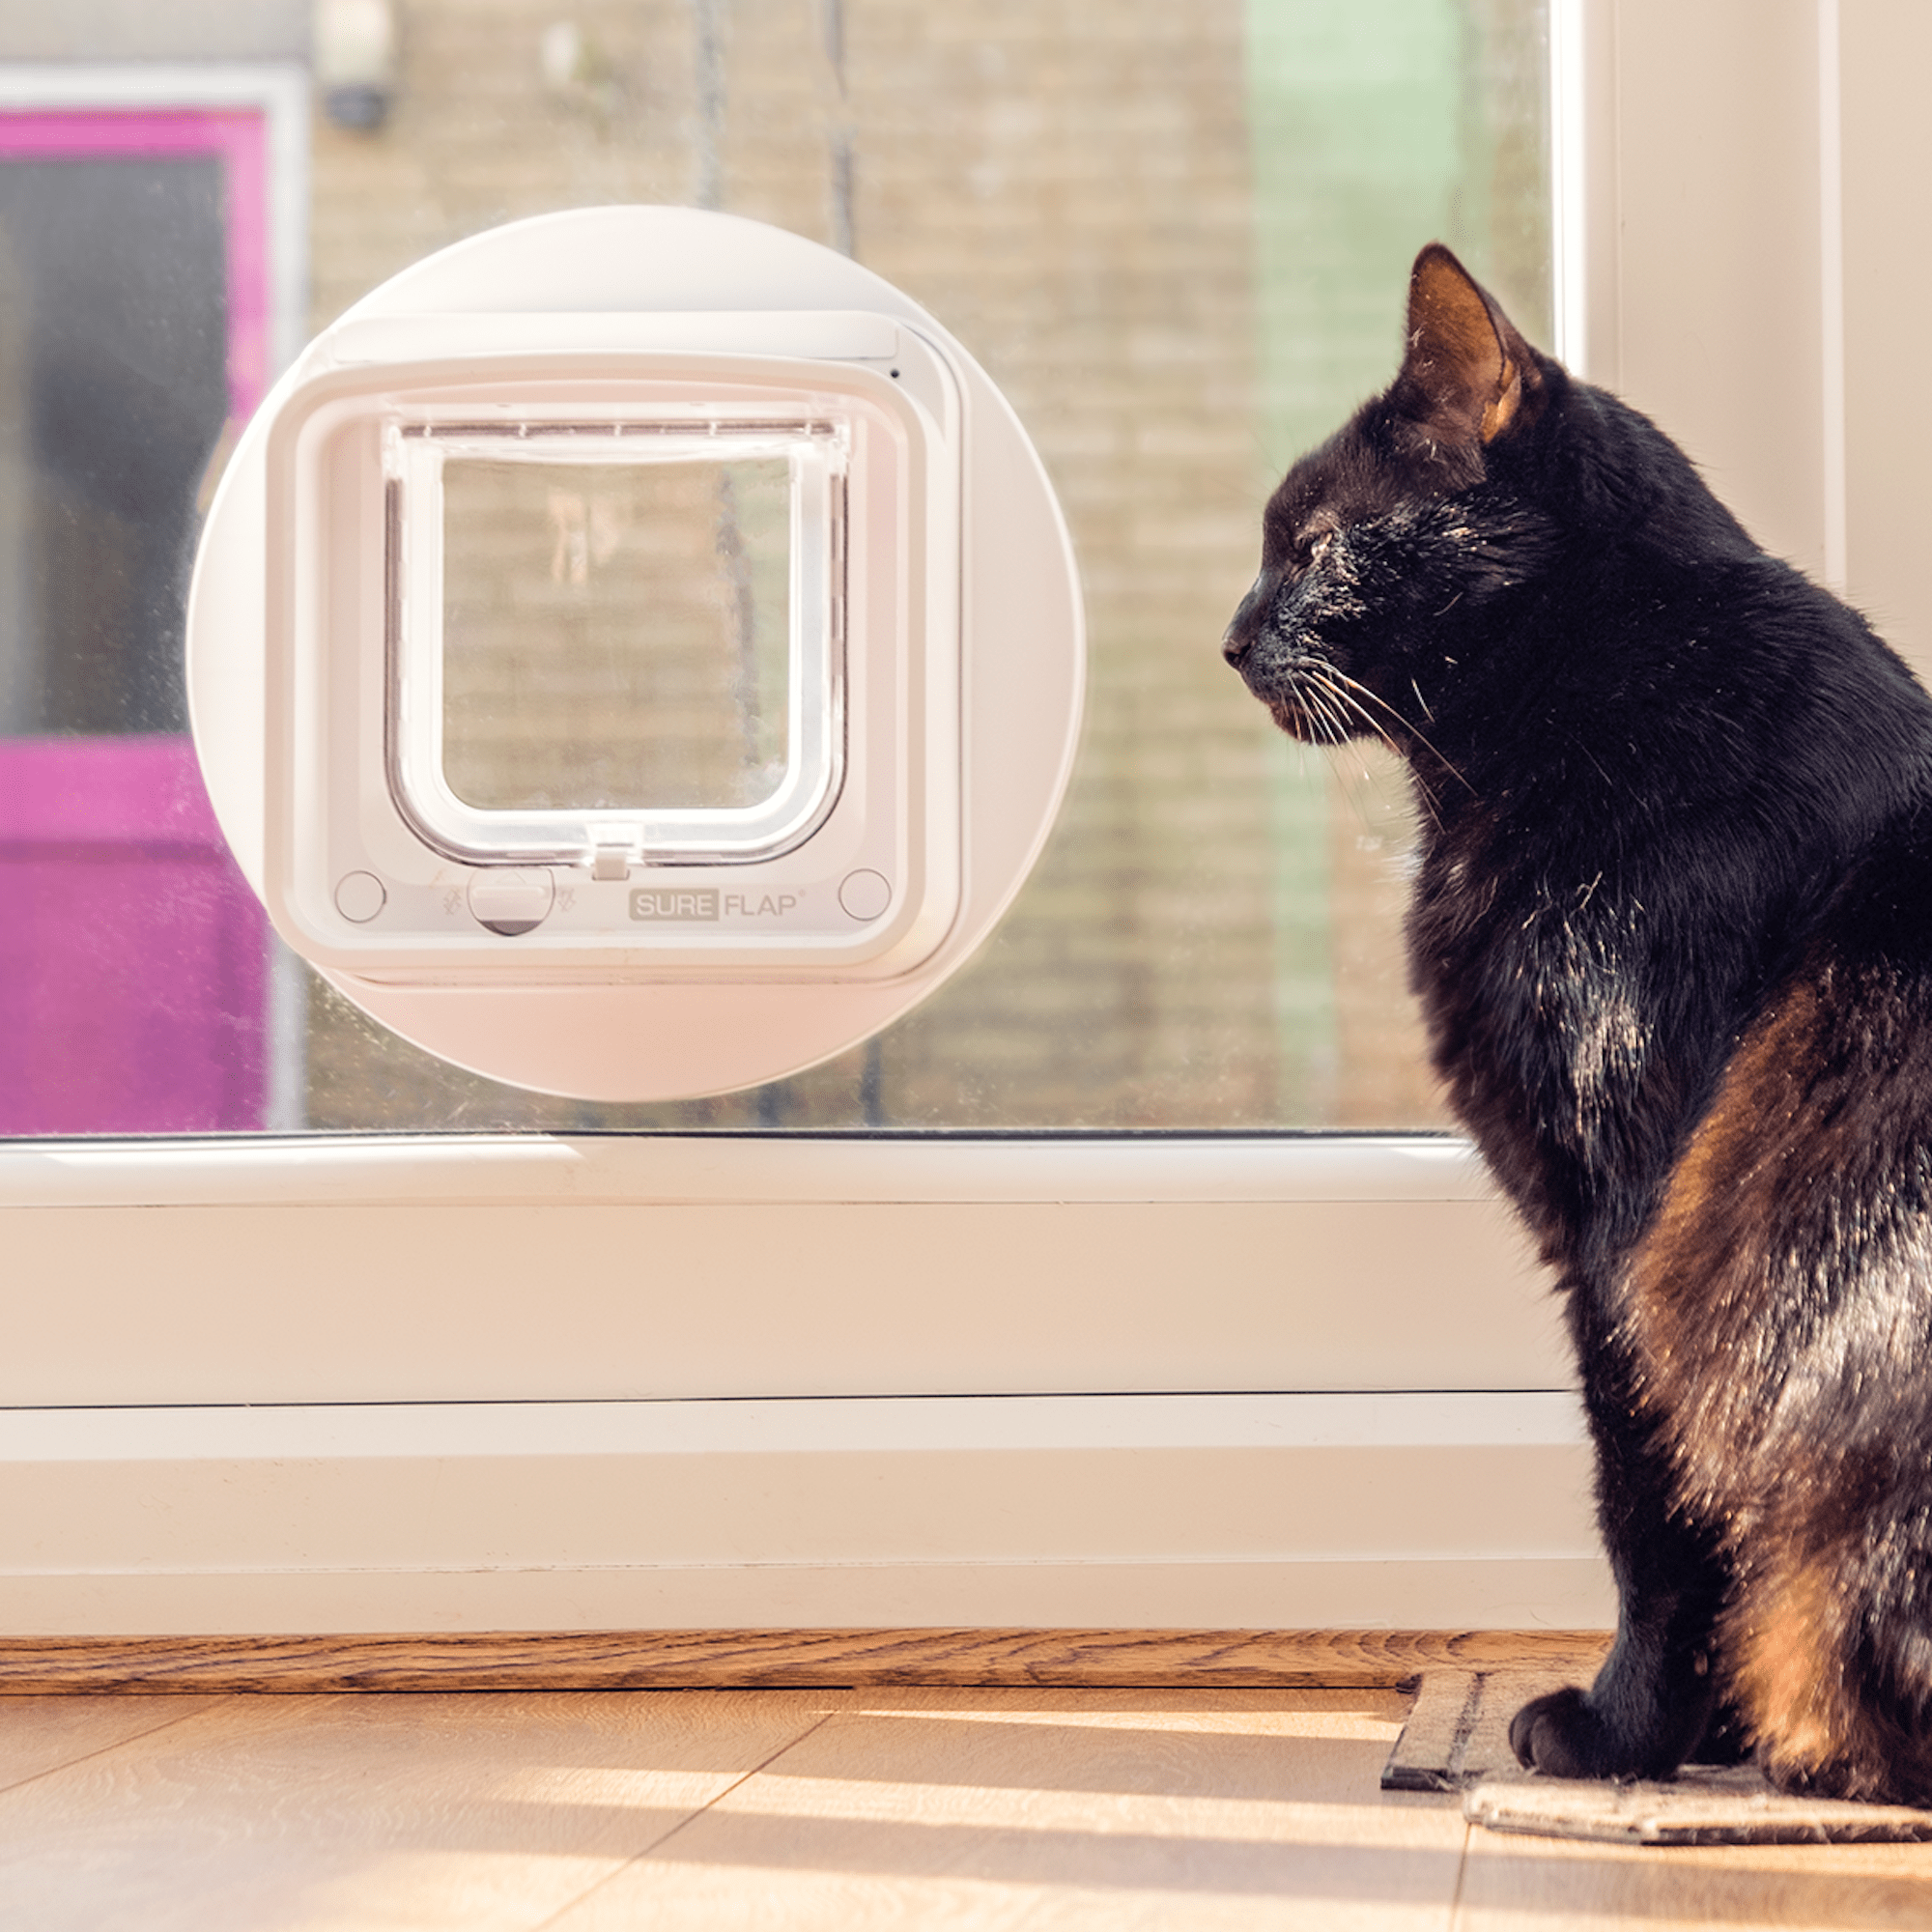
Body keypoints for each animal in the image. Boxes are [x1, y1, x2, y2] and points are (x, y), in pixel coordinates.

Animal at [1229, 245, 1932, 1808]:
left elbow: (1649, 1501)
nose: (1230, 637)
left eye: (1314, 544)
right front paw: (1700, 1733)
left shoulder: (1625, 1218)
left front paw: (1626, 1735)